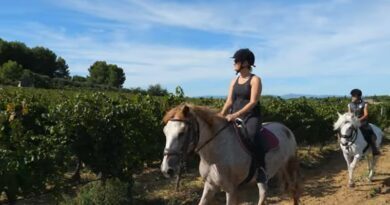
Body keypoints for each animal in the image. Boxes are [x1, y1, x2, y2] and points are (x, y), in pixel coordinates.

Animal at [160, 104, 300, 205]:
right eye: (165, 132)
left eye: (182, 132)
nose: (166, 169)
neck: (215, 156)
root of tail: (285, 128)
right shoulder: (210, 186)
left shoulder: (231, 190)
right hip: (263, 176)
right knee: (263, 193)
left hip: (289, 167)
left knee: (294, 191)